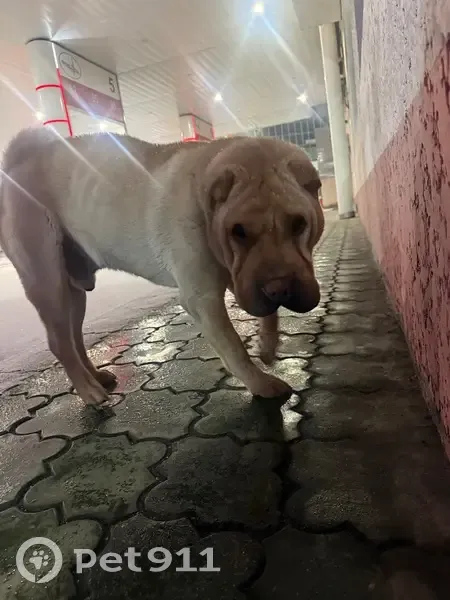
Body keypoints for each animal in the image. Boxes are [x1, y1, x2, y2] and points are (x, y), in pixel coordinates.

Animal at [0, 129, 324, 405]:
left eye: (299, 224)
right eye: (238, 231)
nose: (279, 288)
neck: (205, 205)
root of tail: (15, 162)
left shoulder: (239, 276)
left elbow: (266, 311)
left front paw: (267, 344)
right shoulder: (204, 297)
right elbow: (234, 347)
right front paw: (261, 383)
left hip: (74, 290)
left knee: (75, 337)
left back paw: (95, 377)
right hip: (48, 282)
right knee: (59, 342)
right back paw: (88, 391)